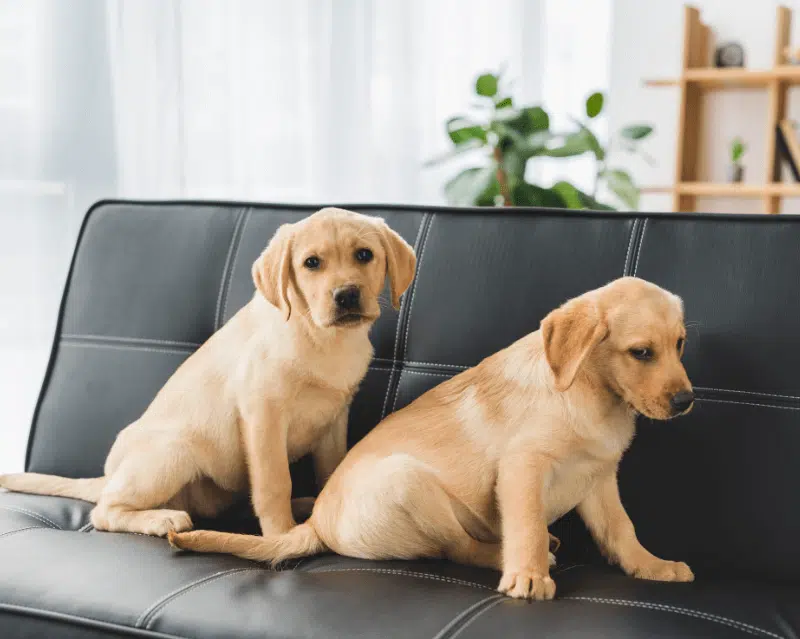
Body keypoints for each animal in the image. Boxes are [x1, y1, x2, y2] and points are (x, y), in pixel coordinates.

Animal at [3, 208, 418, 536]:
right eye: (311, 263)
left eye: (364, 255)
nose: (346, 295)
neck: (321, 336)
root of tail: (109, 474)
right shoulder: (263, 416)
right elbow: (274, 482)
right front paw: (282, 536)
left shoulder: (334, 419)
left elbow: (330, 470)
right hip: (172, 454)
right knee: (105, 510)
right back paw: (161, 519)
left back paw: (303, 505)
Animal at [169, 276, 692, 600]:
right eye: (641, 353)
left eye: (680, 344)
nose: (686, 400)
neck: (591, 392)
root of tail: (315, 523)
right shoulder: (522, 469)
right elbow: (524, 525)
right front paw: (527, 575)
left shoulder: (599, 478)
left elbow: (621, 530)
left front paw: (651, 565)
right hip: (409, 482)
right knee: (459, 548)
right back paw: (515, 554)